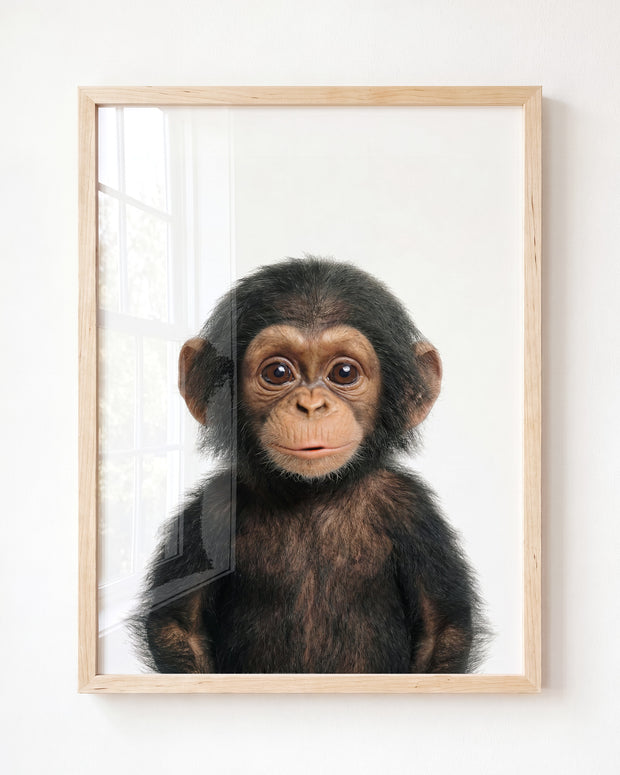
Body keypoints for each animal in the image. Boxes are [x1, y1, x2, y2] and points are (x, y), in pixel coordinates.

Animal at [133, 257, 488, 673]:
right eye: (278, 373)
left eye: (344, 373)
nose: (311, 405)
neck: (313, 493)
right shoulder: (211, 510)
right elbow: (179, 625)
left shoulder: (413, 511)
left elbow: (441, 628)